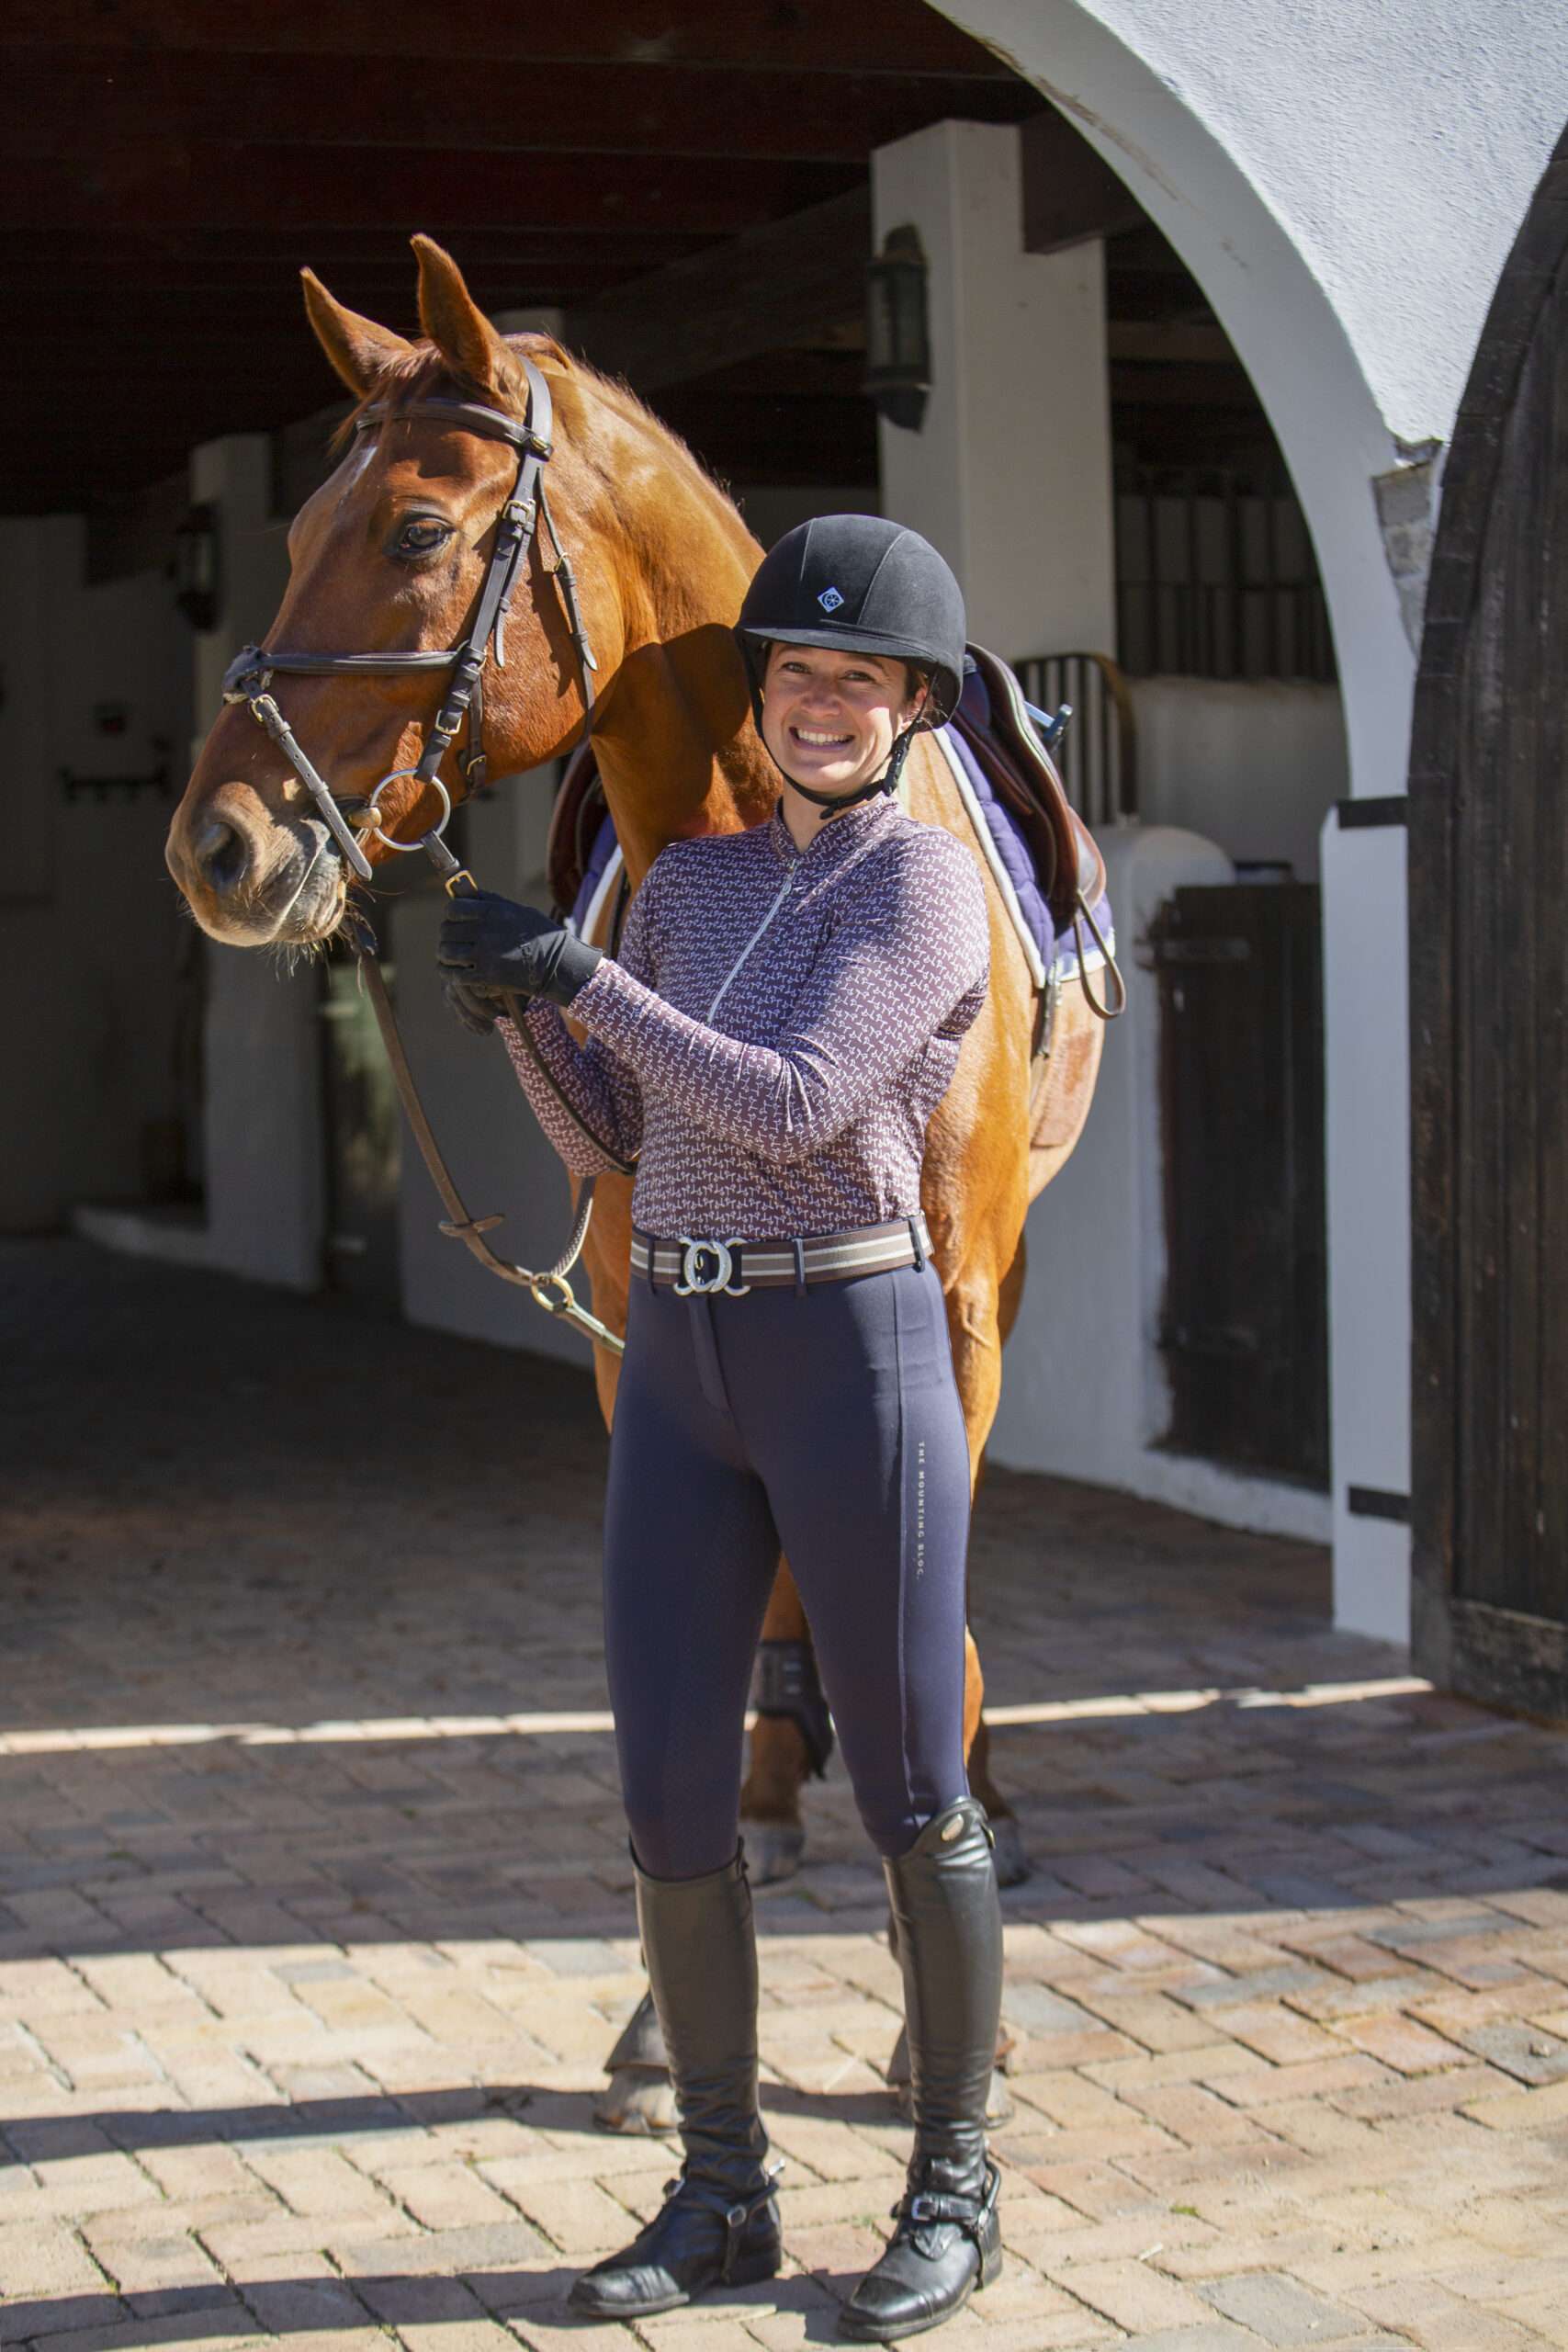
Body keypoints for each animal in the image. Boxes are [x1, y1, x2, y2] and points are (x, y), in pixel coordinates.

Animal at [162, 243, 1104, 2135]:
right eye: (293, 522)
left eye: (421, 528)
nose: (215, 846)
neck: (773, 837)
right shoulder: (634, 1307)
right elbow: (701, 1633)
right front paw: (672, 2014)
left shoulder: (951, 1305)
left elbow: (934, 1616)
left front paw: (939, 2008)